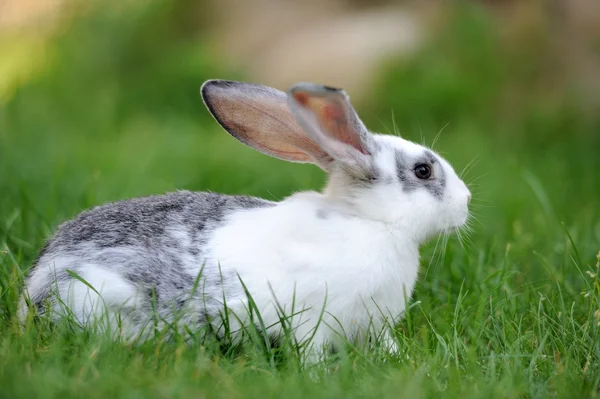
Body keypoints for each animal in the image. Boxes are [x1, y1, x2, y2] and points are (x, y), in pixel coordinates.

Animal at [18, 79, 472, 360]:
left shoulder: (372, 326)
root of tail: (33, 292)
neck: (369, 221)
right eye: (423, 171)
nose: (466, 202)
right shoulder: (314, 320)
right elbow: (309, 351)